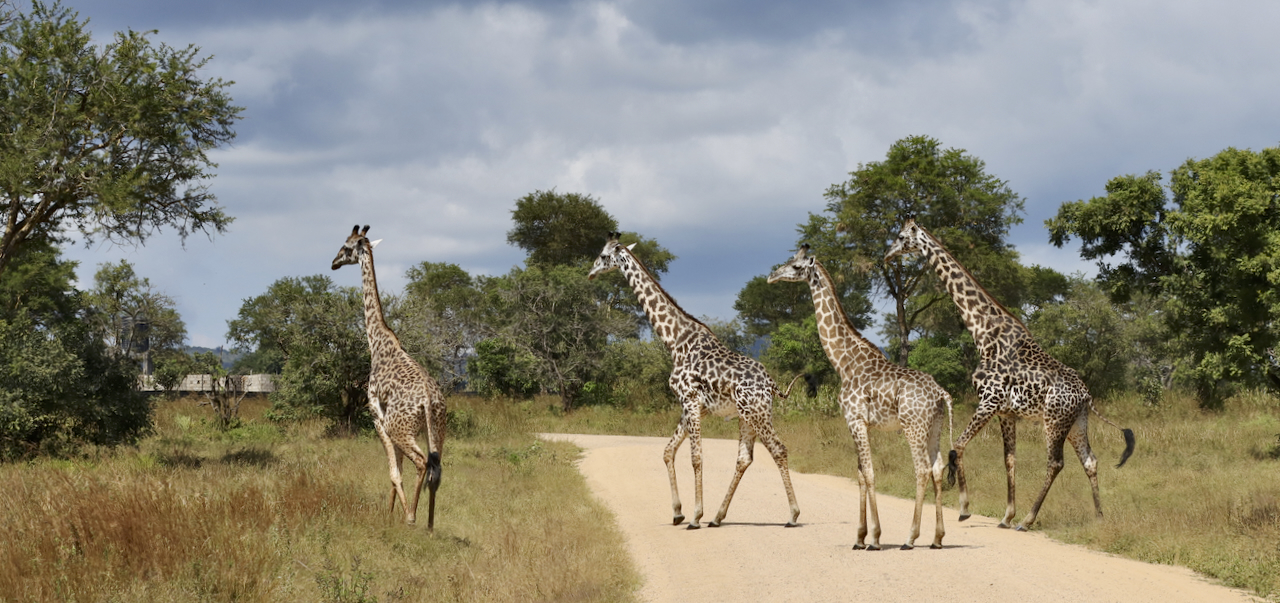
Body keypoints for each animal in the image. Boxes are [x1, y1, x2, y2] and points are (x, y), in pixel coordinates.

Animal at [332, 224, 448, 530]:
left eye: (346, 247)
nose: (333, 263)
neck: (377, 341)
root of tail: (429, 400)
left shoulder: (377, 415)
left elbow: (394, 471)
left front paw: (398, 514)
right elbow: (398, 470)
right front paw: (389, 512)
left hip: (400, 427)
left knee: (422, 462)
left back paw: (412, 518)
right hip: (436, 430)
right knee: (436, 468)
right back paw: (430, 526)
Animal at [586, 233, 798, 527]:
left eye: (604, 256)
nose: (590, 273)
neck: (675, 341)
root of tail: (770, 383)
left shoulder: (690, 400)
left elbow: (695, 457)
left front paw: (696, 515)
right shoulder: (693, 406)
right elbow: (668, 451)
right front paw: (678, 512)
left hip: (757, 413)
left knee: (779, 449)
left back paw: (792, 514)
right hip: (747, 416)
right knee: (744, 459)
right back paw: (718, 517)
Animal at [762, 245, 957, 553]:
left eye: (796, 267)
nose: (771, 277)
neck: (844, 362)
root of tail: (942, 394)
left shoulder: (855, 420)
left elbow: (869, 472)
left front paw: (875, 538)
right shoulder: (856, 423)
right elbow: (860, 474)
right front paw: (860, 537)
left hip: (913, 426)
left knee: (922, 470)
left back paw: (910, 538)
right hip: (934, 426)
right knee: (937, 469)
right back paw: (937, 539)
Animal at [885, 218, 1136, 530]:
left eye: (900, 237)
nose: (886, 256)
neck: (982, 333)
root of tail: (1086, 395)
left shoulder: (989, 400)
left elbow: (958, 445)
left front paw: (965, 506)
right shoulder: (1005, 412)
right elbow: (1009, 459)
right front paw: (1005, 515)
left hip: (1054, 420)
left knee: (1055, 462)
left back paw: (1028, 520)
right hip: (1077, 422)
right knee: (1090, 461)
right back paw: (1099, 516)